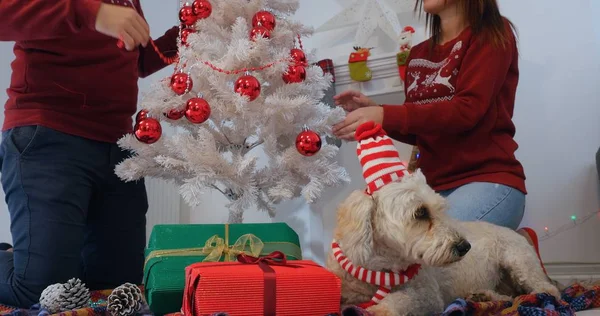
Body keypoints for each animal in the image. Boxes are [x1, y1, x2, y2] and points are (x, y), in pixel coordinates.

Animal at [326, 172, 560, 314]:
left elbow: (403, 299)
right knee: (508, 296)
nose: (465, 247)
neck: (380, 270)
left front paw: (379, 309)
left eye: (440, 208)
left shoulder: (429, 296)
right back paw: (482, 295)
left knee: (546, 290)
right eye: (421, 212)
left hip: (520, 262)